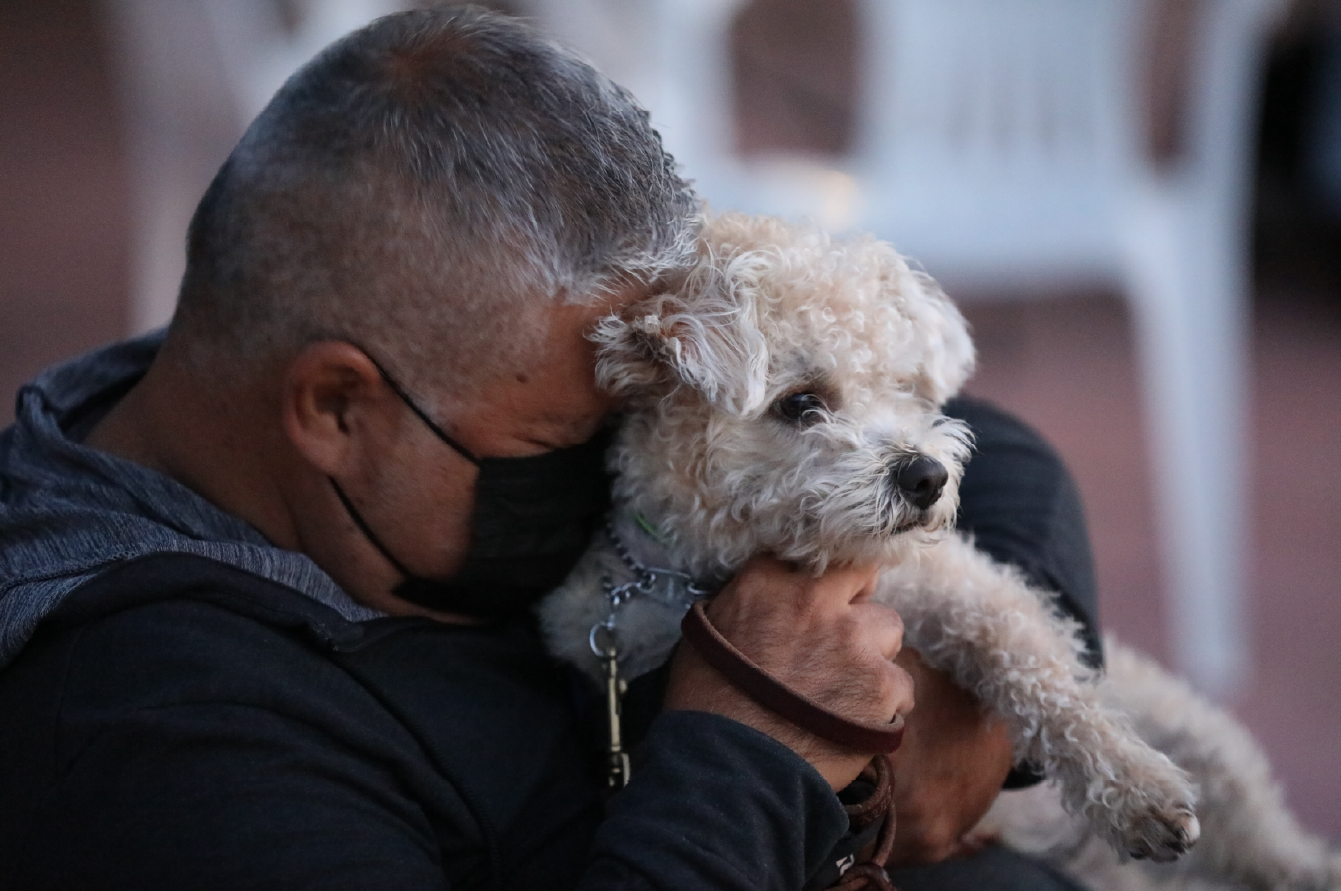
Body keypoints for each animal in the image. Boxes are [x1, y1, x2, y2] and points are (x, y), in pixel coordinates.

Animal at [536, 214, 1330, 874]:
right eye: (800, 403)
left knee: (1263, 831)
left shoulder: (966, 592)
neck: (715, 567)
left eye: (902, 387)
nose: (926, 476)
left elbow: (1042, 675)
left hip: (1203, 738)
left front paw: (1136, 791)